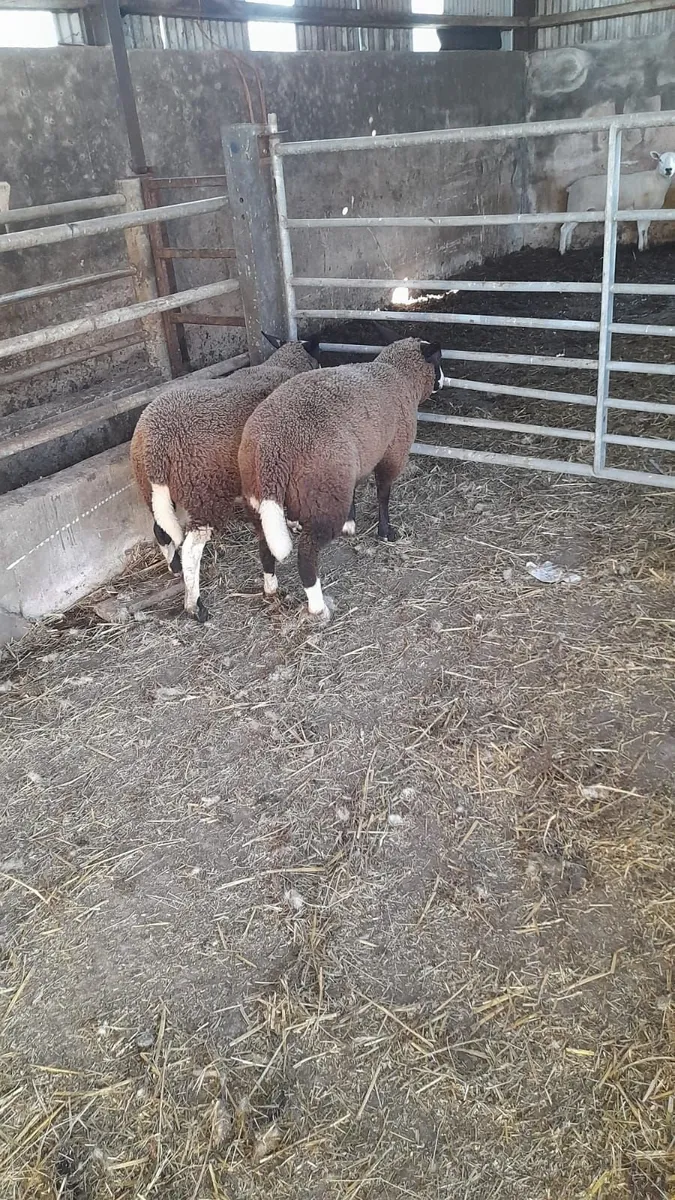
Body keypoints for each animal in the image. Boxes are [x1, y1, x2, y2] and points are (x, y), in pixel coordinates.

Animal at [130, 334, 320, 622]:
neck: (284, 366)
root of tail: (156, 446)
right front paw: (294, 523)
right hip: (204, 493)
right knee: (191, 548)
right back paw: (195, 605)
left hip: (151, 490)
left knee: (161, 530)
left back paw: (174, 568)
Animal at [238, 337, 442, 622]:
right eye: (438, 359)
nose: (443, 381)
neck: (400, 375)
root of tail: (272, 449)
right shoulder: (392, 453)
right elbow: (383, 494)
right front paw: (386, 532)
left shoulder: (354, 463)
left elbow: (355, 490)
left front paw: (350, 523)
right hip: (323, 496)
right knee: (306, 556)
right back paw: (317, 605)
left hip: (257, 494)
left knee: (265, 544)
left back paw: (271, 586)